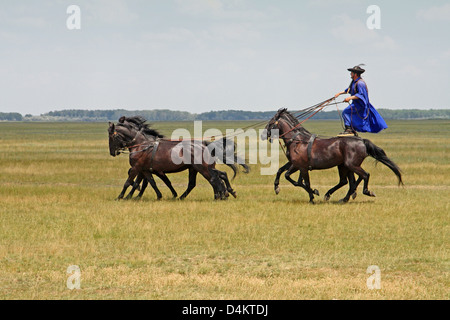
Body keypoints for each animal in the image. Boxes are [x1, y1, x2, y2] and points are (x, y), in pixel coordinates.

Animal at [262, 107, 402, 202]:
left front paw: (312, 196)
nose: (263, 135)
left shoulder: (300, 166)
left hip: (351, 165)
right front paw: (277, 187)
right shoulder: (295, 164)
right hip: (344, 166)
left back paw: (365, 192)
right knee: (348, 181)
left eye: (270, 123)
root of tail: (361, 141)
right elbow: (284, 173)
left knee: (364, 175)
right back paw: (341, 197)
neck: (298, 140)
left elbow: (299, 181)